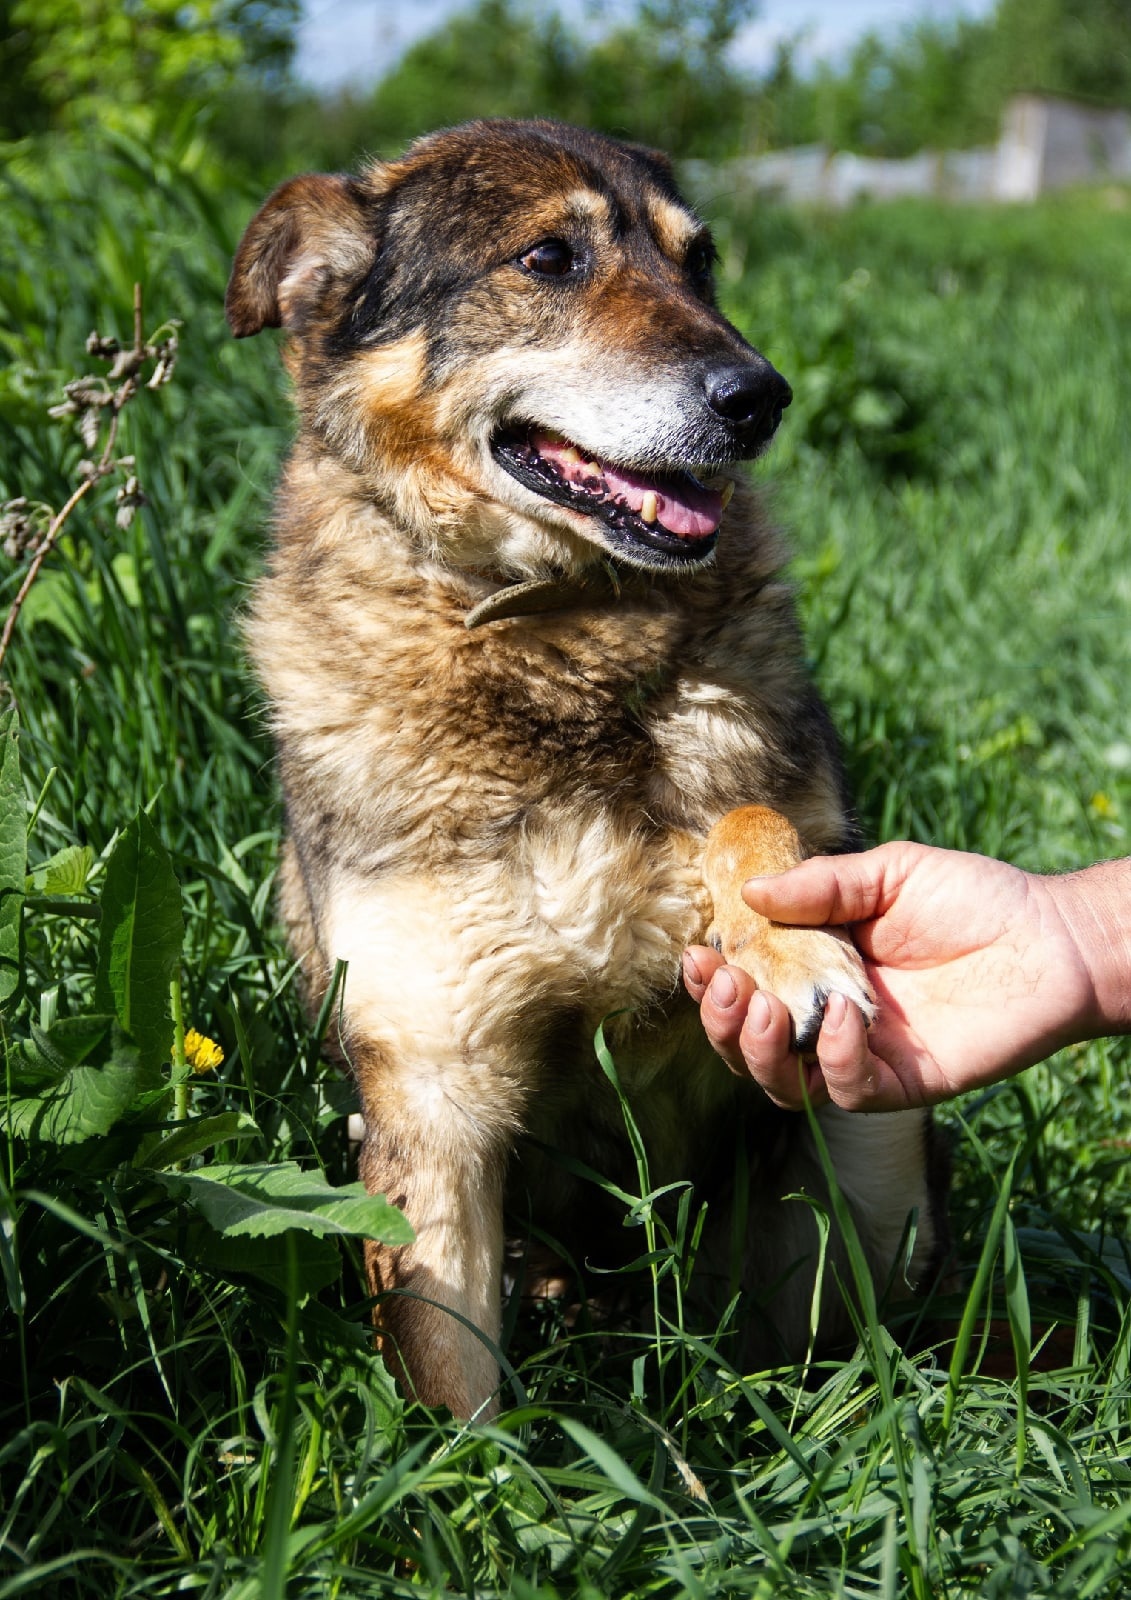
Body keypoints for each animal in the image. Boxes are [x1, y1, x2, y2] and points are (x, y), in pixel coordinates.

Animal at [227, 118, 947, 1420]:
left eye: (701, 264)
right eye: (549, 258)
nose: (761, 397)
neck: (551, 635)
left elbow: (754, 819)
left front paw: (789, 947)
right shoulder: (434, 1098)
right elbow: (461, 1403)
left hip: (878, 1167)